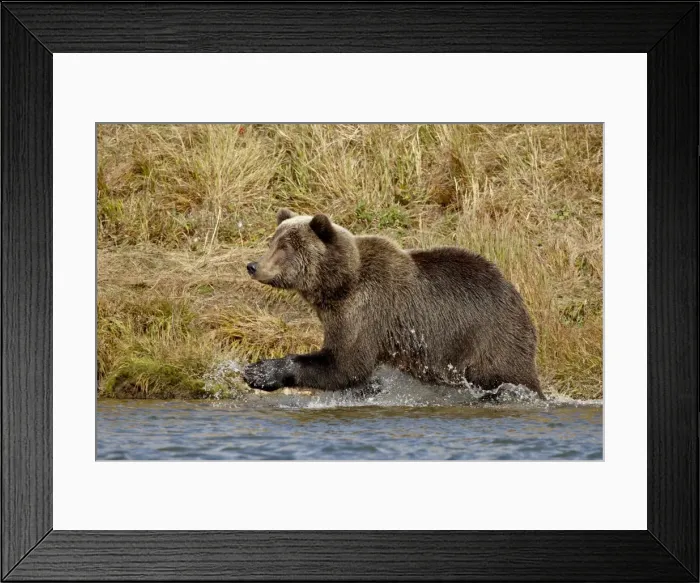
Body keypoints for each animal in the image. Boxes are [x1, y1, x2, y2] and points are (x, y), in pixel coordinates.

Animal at [243, 208, 544, 399]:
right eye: (272, 242)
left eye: (284, 248)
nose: (253, 265)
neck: (338, 285)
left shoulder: (366, 311)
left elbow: (345, 365)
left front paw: (260, 371)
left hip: (489, 337)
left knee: (507, 376)